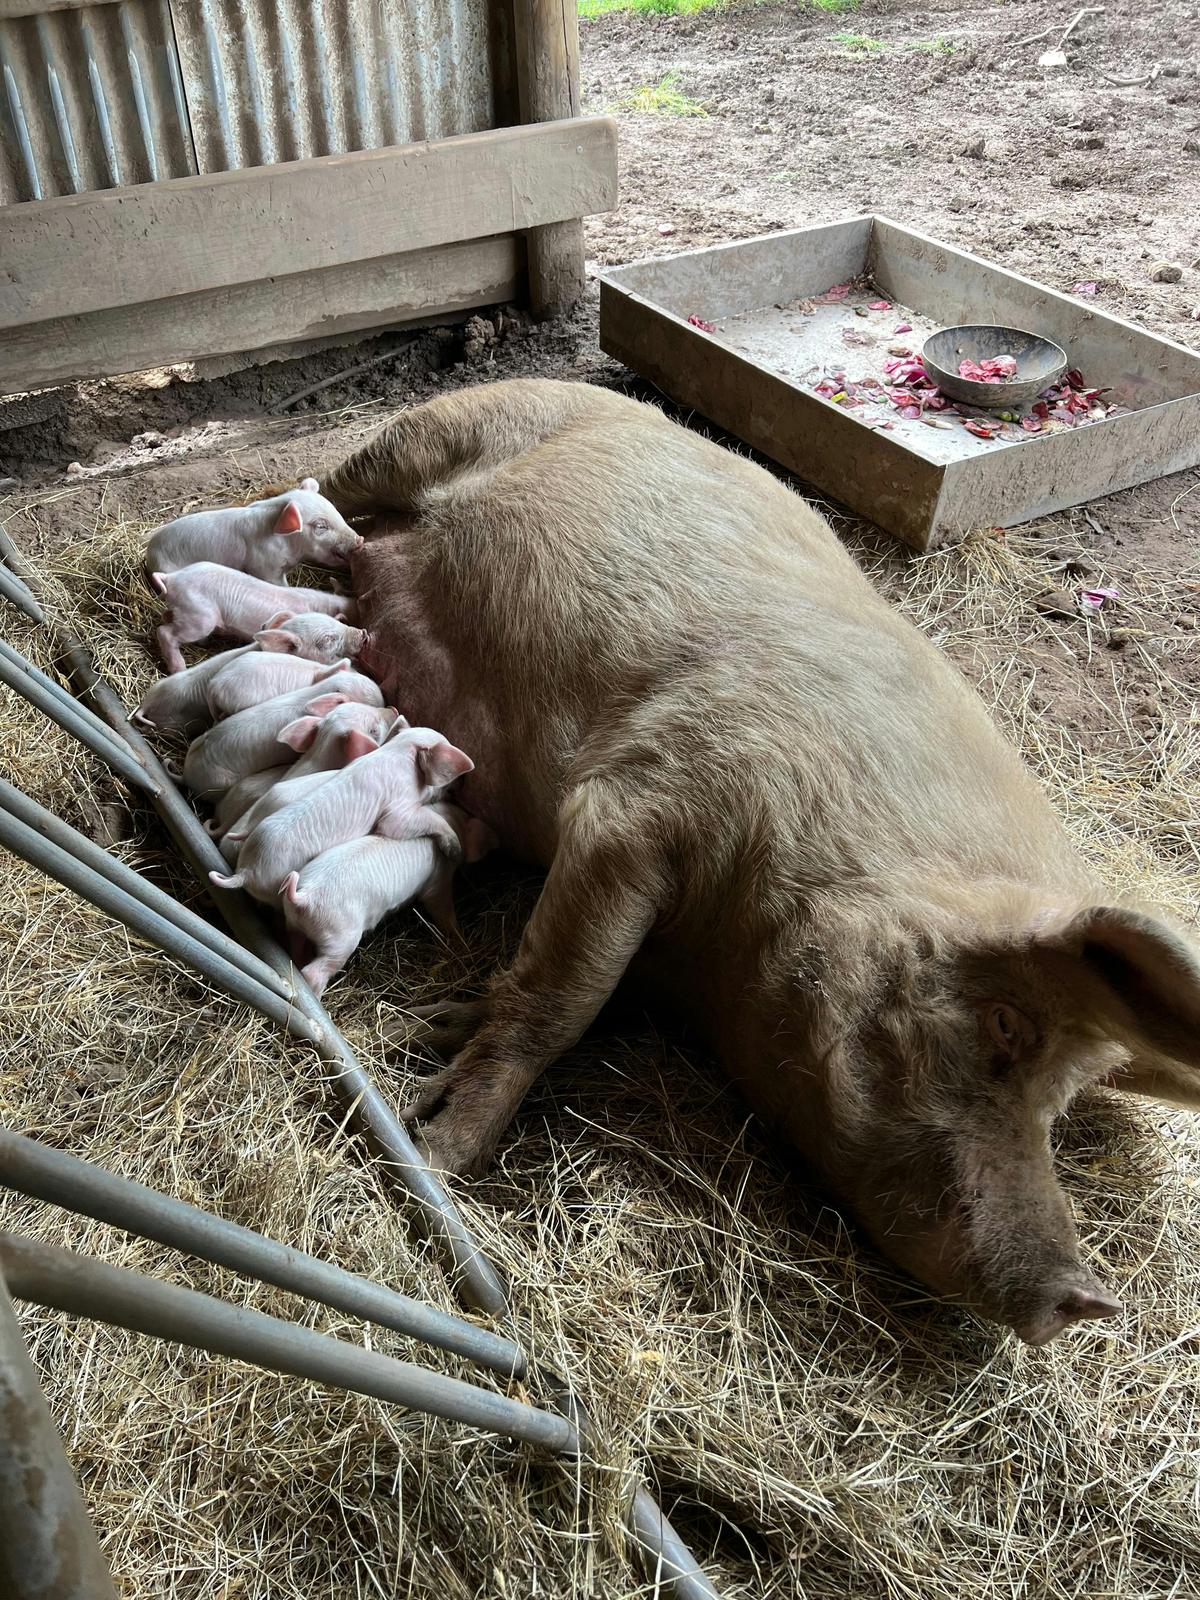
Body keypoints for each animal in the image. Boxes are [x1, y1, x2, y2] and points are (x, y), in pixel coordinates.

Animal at [152, 563, 357, 673]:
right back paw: (180, 668)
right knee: (164, 632)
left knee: (166, 617)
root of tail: (172, 577)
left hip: (184, 610)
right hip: (199, 617)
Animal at [208, 727, 472, 902]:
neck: (399, 754)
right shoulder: (397, 808)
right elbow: (402, 823)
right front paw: (455, 849)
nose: (459, 788)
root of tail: (246, 871)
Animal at [279, 805, 498, 995]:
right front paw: (460, 938)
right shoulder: (438, 879)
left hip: (293, 924)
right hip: (340, 936)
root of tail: (304, 896)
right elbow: (441, 907)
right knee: (314, 971)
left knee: (295, 951)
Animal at [317, 376, 1200, 1347]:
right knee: (327, 481)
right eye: (1005, 1026)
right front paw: (437, 1149)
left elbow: (563, 987)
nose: (1086, 1299)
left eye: (1064, 1105)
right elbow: (565, 999)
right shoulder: (637, 805)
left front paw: (436, 1027)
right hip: (430, 431)